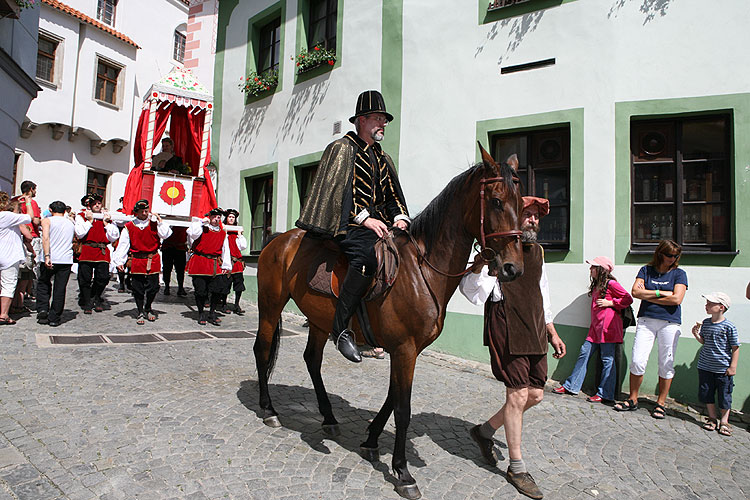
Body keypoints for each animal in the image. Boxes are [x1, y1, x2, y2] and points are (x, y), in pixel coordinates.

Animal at [253, 146, 524, 500]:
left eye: (521, 203)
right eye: (495, 201)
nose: (513, 268)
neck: (422, 271)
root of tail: (278, 239)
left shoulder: (407, 350)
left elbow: (393, 398)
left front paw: (370, 441)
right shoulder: (404, 349)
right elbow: (403, 408)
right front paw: (403, 471)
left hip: (320, 320)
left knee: (311, 359)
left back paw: (328, 417)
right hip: (270, 304)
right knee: (262, 350)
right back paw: (269, 410)